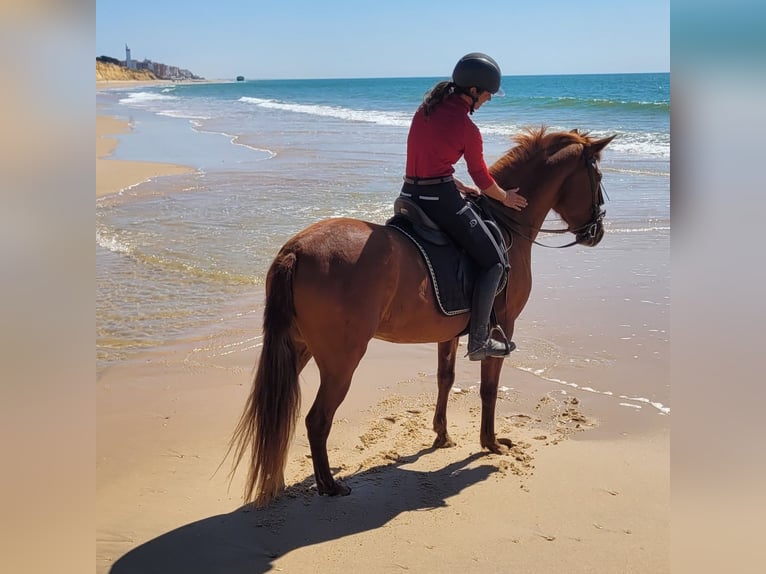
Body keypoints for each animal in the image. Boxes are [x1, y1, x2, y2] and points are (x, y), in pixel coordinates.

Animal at [228, 126, 615, 507]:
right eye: (596, 176)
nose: (596, 231)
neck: (505, 224)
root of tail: (295, 250)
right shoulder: (502, 326)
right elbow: (488, 389)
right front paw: (490, 442)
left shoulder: (451, 333)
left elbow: (445, 378)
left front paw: (441, 434)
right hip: (341, 361)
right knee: (317, 419)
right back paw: (329, 485)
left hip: (297, 348)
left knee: (279, 411)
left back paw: (277, 478)